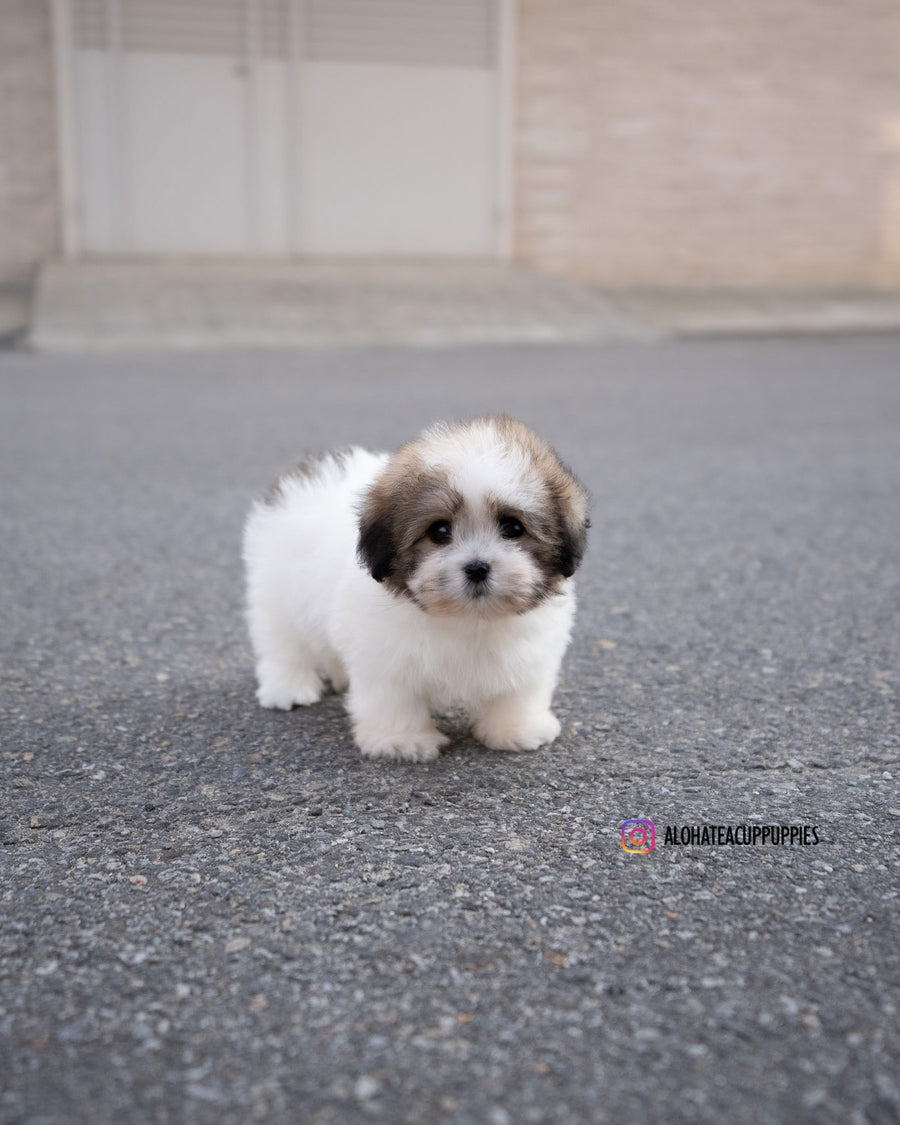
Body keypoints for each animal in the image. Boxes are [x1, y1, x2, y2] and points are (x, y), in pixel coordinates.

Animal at [243, 416, 585, 765]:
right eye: (439, 531)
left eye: (513, 527)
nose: (477, 567)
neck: (467, 619)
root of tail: (310, 471)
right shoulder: (385, 658)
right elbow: (395, 699)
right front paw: (402, 740)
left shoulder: (528, 655)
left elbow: (518, 691)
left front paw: (516, 729)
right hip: (276, 594)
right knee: (283, 644)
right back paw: (287, 687)